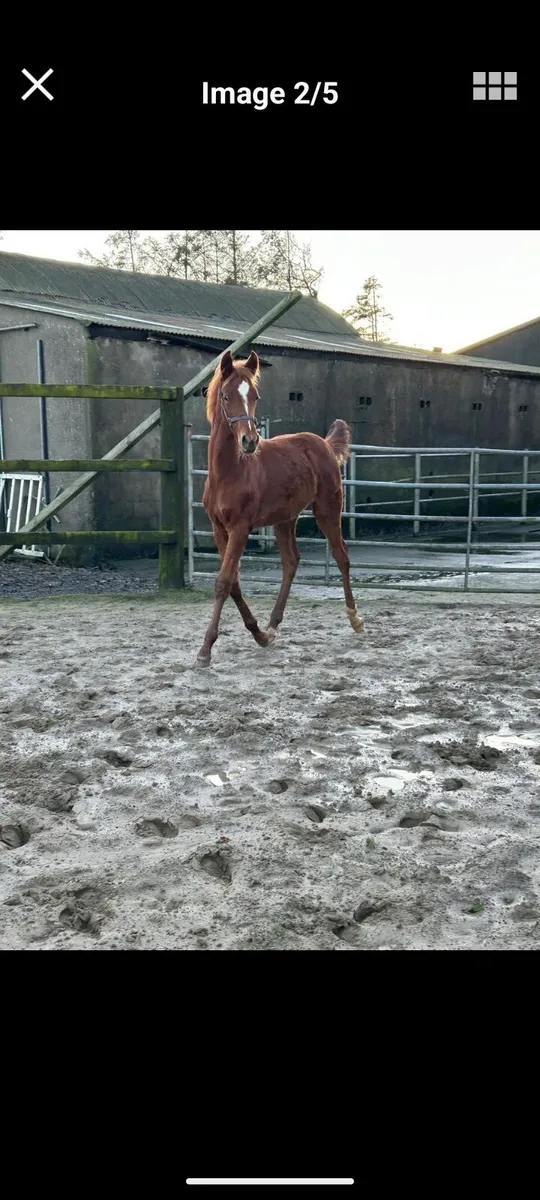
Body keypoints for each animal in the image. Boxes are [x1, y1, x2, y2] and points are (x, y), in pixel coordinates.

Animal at [196, 348, 364, 665]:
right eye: (226, 396)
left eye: (255, 396)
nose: (250, 441)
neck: (230, 472)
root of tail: (324, 443)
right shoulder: (218, 528)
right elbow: (233, 583)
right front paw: (258, 633)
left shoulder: (241, 528)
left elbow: (223, 582)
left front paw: (205, 650)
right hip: (284, 520)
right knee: (291, 561)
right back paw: (272, 626)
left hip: (327, 509)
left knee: (342, 555)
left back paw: (355, 618)